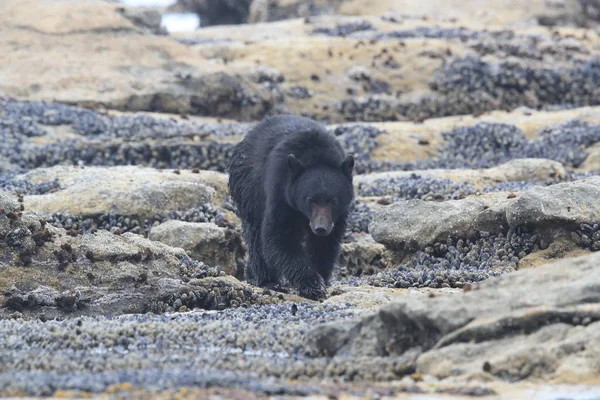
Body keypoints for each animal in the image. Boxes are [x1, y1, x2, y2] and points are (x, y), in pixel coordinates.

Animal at [227, 114, 354, 298]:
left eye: (333, 200)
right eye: (310, 199)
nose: (320, 228)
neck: (317, 155)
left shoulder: (337, 216)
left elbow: (325, 244)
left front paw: (321, 277)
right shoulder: (280, 192)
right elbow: (279, 237)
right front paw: (312, 285)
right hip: (248, 190)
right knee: (256, 236)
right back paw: (267, 279)